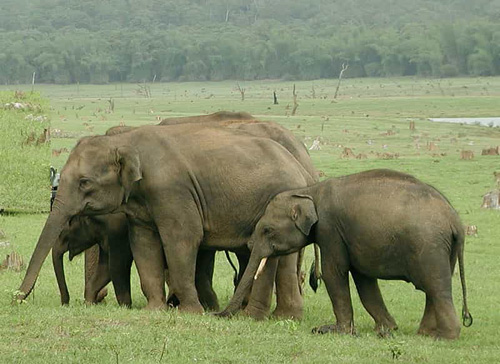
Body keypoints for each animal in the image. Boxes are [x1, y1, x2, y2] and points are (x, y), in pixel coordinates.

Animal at [16, 123, 316, 318]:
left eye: (84, 182)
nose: (16, 298)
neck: (127, 140)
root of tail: (301, 166)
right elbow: (144, 243)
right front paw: (154, 310)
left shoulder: (172, 190)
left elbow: (182, 239)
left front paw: (191, 313)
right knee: (283, 260)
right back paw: (285, 317)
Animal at [220, 169, 472, 340]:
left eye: (267, 230)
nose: (218, 315)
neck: (309, 191)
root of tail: (456, 221)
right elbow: (364, 280)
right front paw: (386, 329)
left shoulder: (330, 229)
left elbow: (334, 273)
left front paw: (333, 331)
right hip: (443, 249)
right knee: (432, 289)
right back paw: (425, 333)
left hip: (430, 246)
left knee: (436, 287)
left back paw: (444, 337)